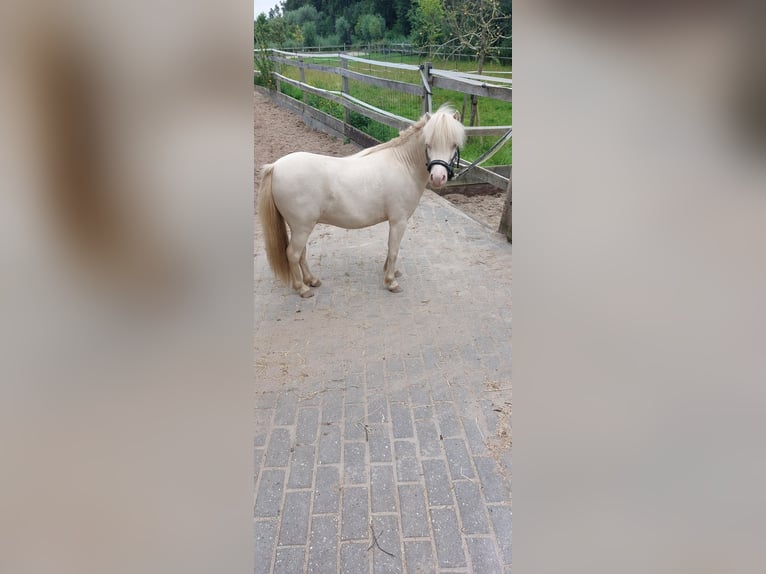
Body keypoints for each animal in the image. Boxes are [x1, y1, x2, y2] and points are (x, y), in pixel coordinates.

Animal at [258, 105, 464, 300]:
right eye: (428, 144)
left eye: (454, 144)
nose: (438, 178)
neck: (403, 163)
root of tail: (275, 167)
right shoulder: (399, 221)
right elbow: (394, 249)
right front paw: (391, 282)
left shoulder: (394, 221)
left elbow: (390, 248)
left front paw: (390, 272)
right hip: (302, 227)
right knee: (293, 254)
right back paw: (303, 288)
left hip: (300, 227)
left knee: (301, 253)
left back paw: (312, 280)